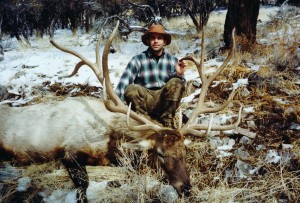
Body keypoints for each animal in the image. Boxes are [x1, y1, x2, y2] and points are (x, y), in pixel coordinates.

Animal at [0, 20, 241, 201]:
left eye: (185, 152)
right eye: (160, 154)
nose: (186, 188)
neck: (110, 140)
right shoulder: (68, 150)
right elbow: (82, 187)